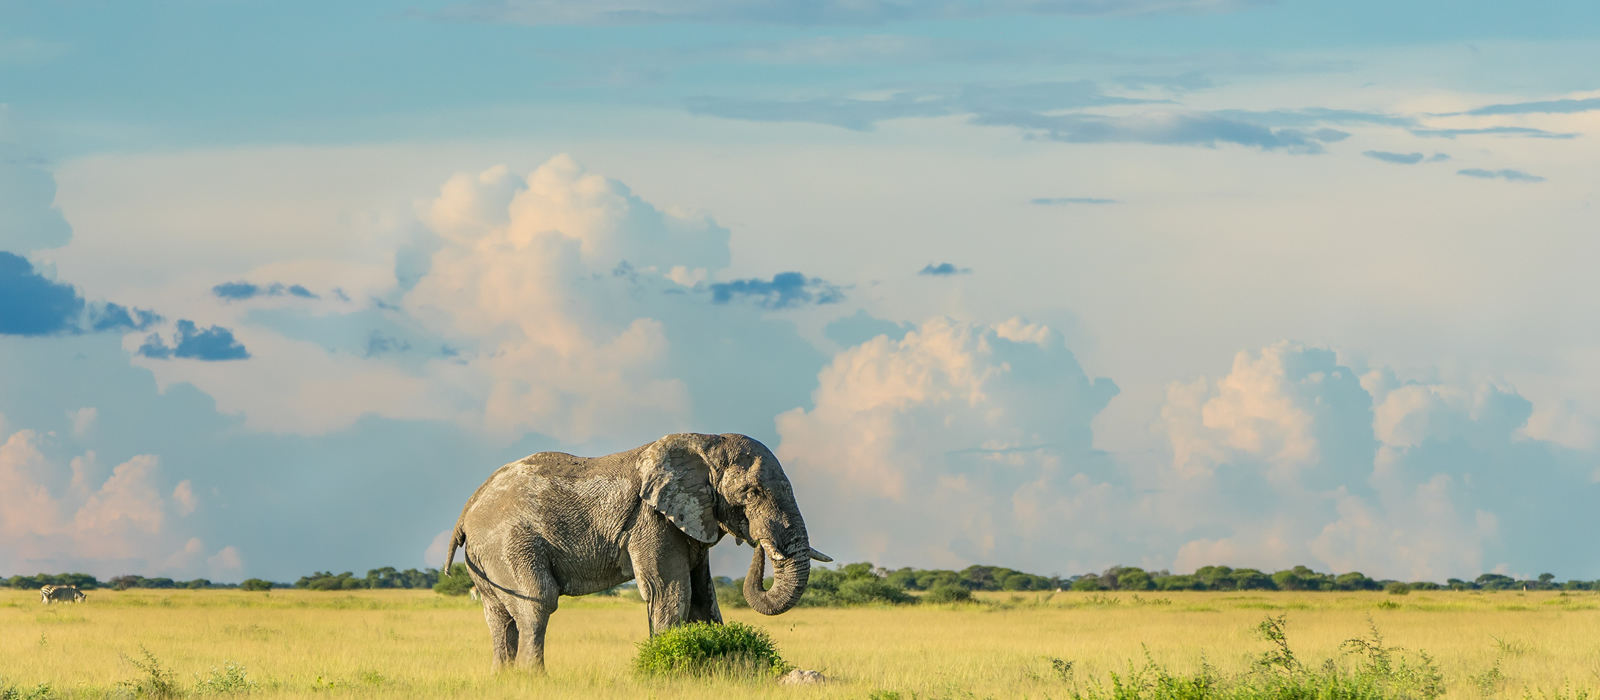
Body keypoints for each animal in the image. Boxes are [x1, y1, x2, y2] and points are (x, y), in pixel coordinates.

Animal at [443, 432, 830, 671]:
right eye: (752, 493)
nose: (760, 546)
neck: (706, 442)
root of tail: (468, 508)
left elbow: (703, 598)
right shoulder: (652, 521)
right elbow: (671, 592)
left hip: (485, 557)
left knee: (498, 617)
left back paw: (503, 678)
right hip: (509, 543)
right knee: (538, 602)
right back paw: (534, 679)